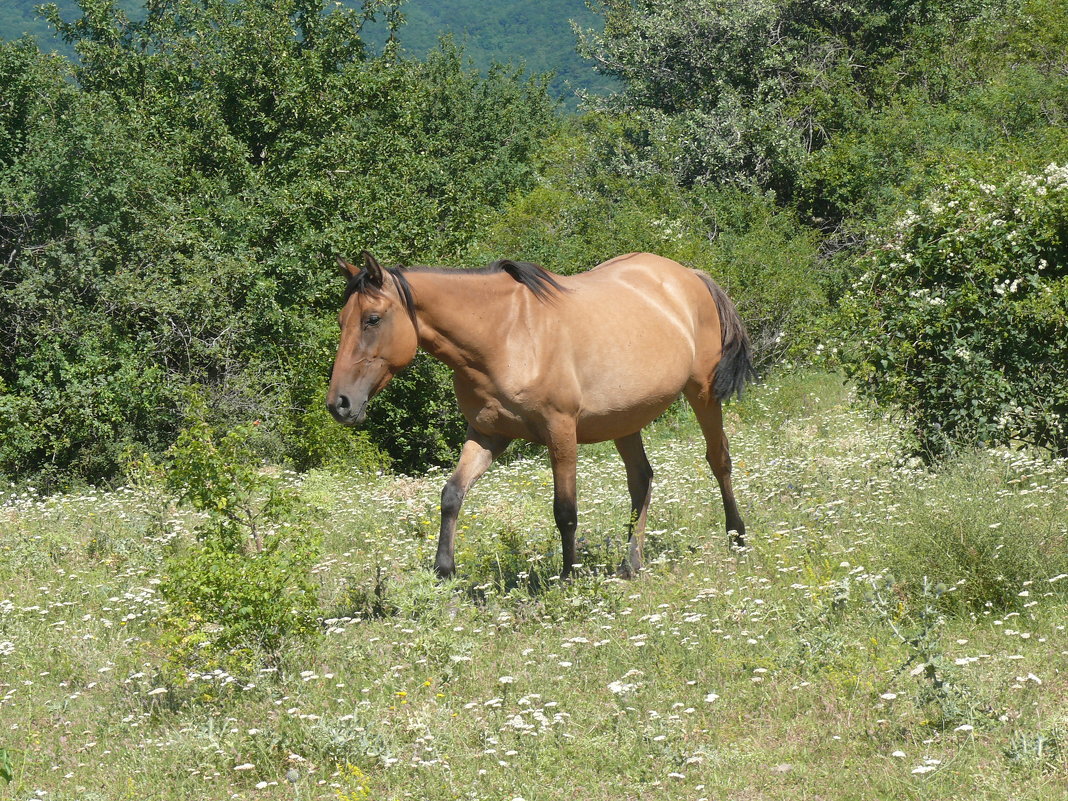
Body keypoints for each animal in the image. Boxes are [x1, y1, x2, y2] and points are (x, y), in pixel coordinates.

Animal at [324, 250, 751, 576]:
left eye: (372, 319)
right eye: (342, 321)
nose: (339, 403)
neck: (504, 336)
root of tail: (688, 275)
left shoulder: (560, 431)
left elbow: (565, 510)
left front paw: (568, 577)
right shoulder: (487, 434)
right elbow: (451, 495)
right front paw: (444, 572)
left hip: (702, 393)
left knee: (719, 460)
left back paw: (737, 538)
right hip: (625, 418)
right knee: (641, 480)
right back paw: (631, 564)